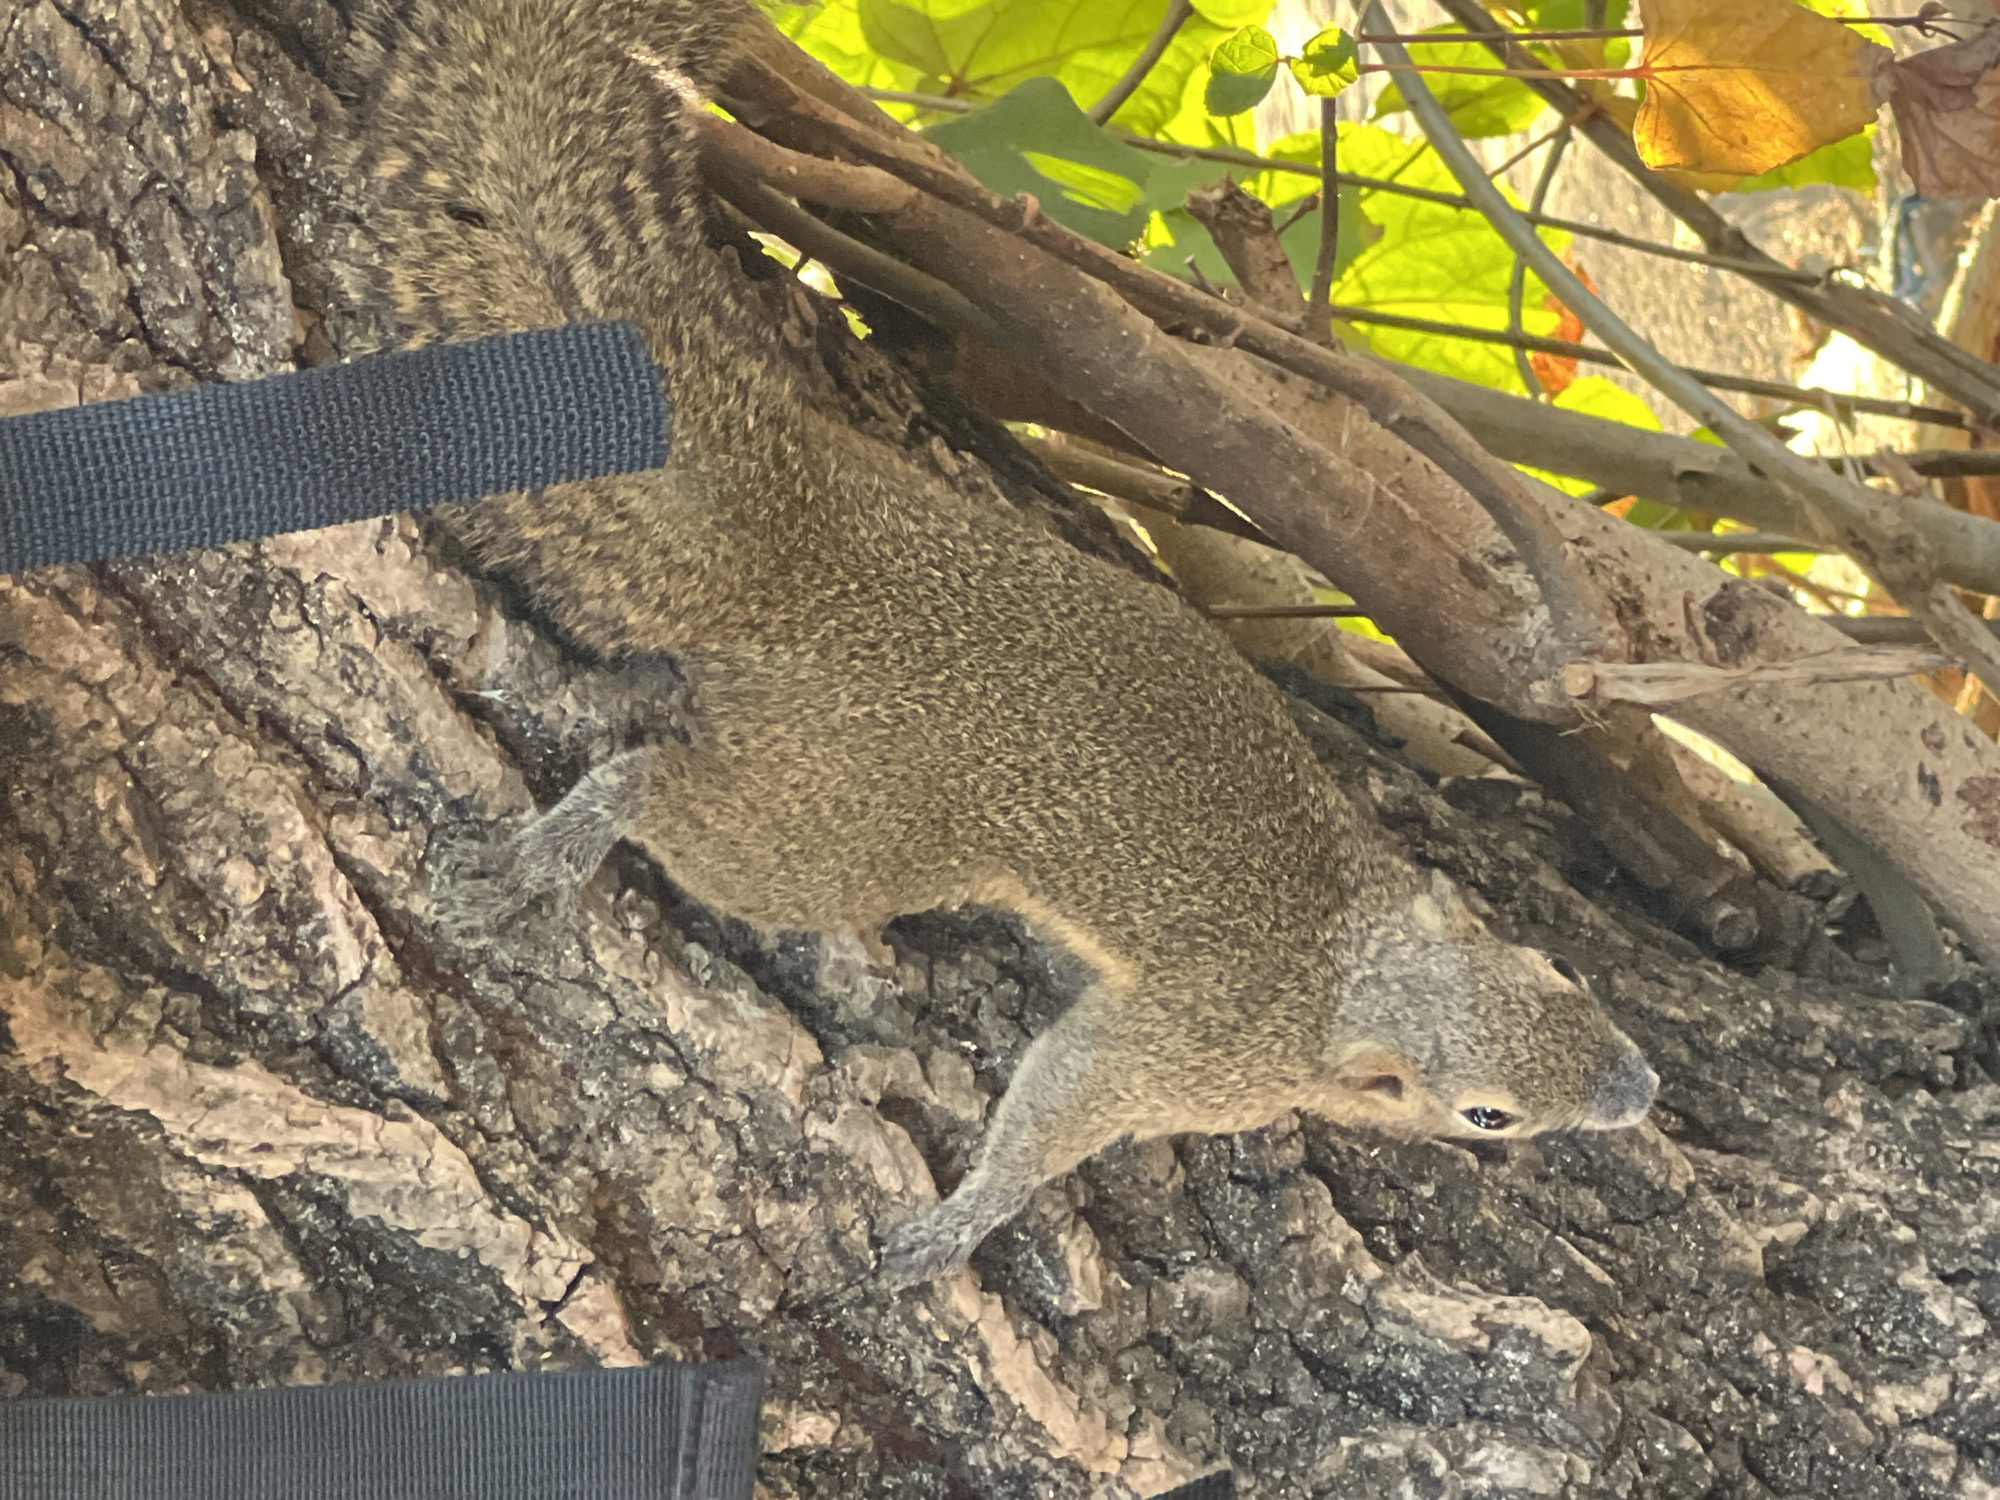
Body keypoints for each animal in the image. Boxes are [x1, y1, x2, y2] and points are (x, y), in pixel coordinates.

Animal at [334, 0, 1658, 1284]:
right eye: (1485, 1115)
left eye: (1557, 975)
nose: (1637, 1088)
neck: (1347, 961)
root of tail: (807, 564)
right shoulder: (1198, 1051)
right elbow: (1069, 1096)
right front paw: (963, 1223)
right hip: (855, 828)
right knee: (668, 794)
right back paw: (565, 841)